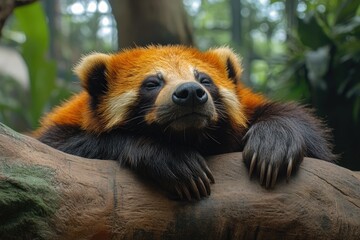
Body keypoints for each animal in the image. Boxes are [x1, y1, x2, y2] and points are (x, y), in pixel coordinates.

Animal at [34, 45, 334, 201]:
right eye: (153, 83)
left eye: (204, 79)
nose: (190, 92)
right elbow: (66, 145)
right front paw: (171, 158)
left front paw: (273, 142)